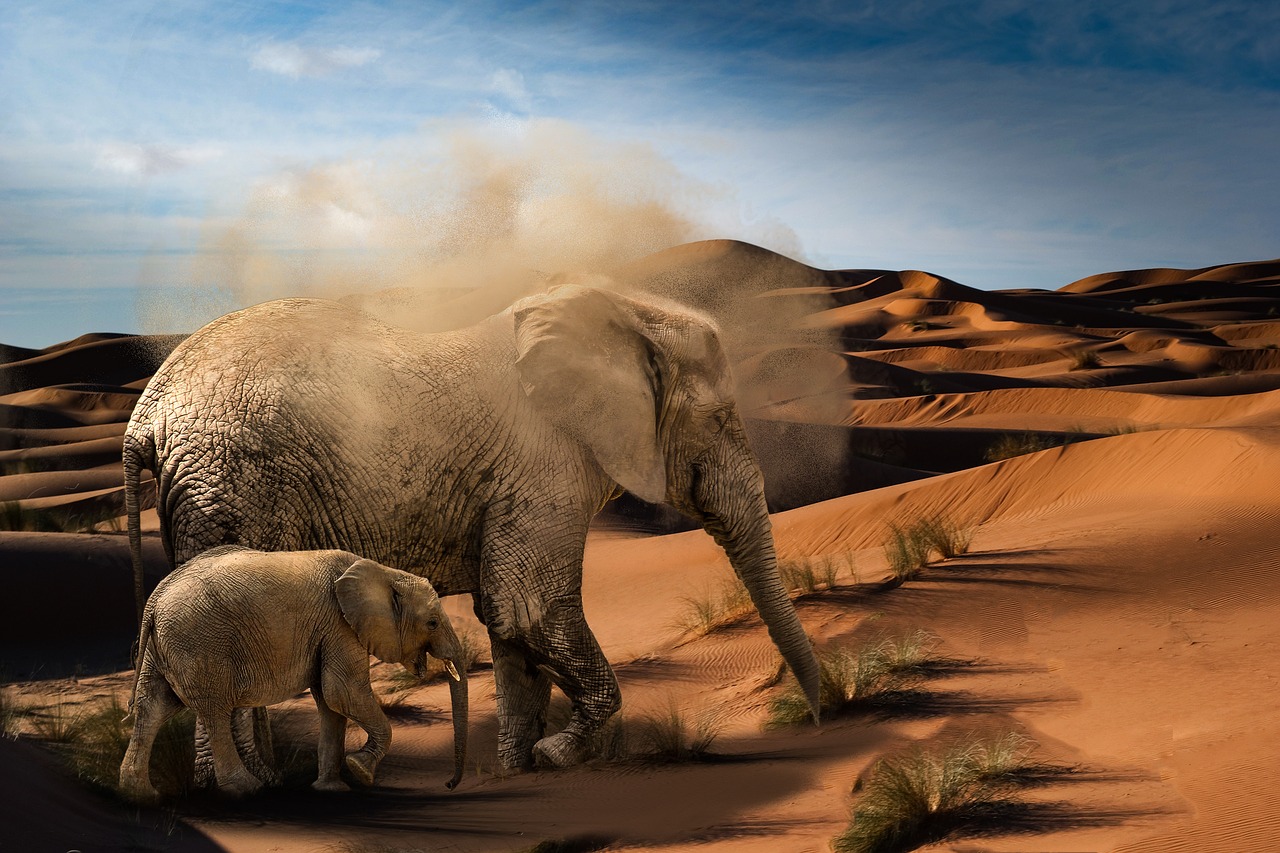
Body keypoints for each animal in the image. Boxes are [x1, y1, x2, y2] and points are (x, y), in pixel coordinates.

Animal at [119, 545, 471, 799]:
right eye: (432, 623)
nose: (448, 785)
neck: (384, 572)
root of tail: (154, 601)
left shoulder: (326, 633)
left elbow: (331, 702)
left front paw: (332, 789)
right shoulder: (339, 626)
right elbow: (342, 692)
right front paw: (361, 770)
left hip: (160, 648)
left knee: (153, 707)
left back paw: (140, 795)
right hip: (199, 642)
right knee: (214, 711)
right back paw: (247, 790)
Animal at [127, 281, 819, 768]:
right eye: (719, 417)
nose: (817, 721)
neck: (623, 316)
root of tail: (147, 410)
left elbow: (510, 623)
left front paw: (520, 769)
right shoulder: (545, 467)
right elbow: (530, 608)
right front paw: (556, 755)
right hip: (234, 483)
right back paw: (252, 790)